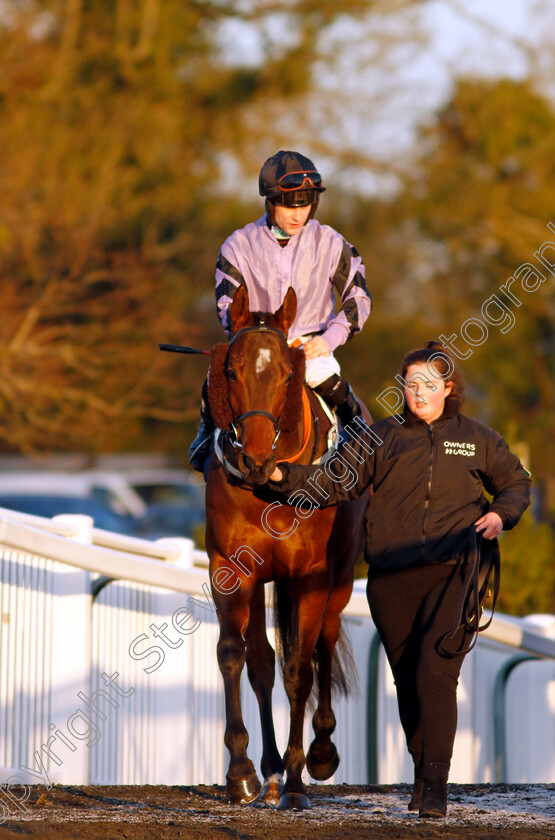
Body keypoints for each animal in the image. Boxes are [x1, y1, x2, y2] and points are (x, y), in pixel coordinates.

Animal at [204, 286, 370, 812]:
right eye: (231, 372)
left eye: (286, 374)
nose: (256, 460)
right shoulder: (230, 569)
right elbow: (235, 655)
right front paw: (241, 773)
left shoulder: (311, 574)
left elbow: (299, 668)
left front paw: (298, 782)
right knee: (261, 661)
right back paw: (271, 771)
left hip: (340, 576)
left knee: (324, 644)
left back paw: (319, 752)